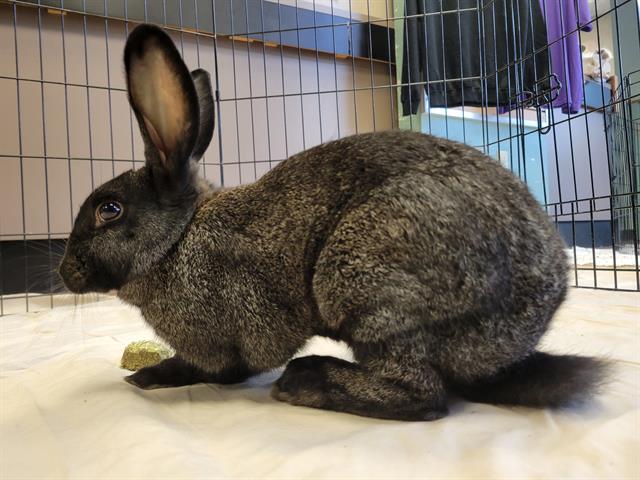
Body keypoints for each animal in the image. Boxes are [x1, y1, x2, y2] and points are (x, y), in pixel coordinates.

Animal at [57, 25, 608, 420]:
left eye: (110, 210)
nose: (64, 272)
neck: (177, 241)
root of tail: (528, 326)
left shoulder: (229, 336)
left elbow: (220, 368)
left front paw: (150, 377)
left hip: (363, 278)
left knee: (424, 395)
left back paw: (309, 382)